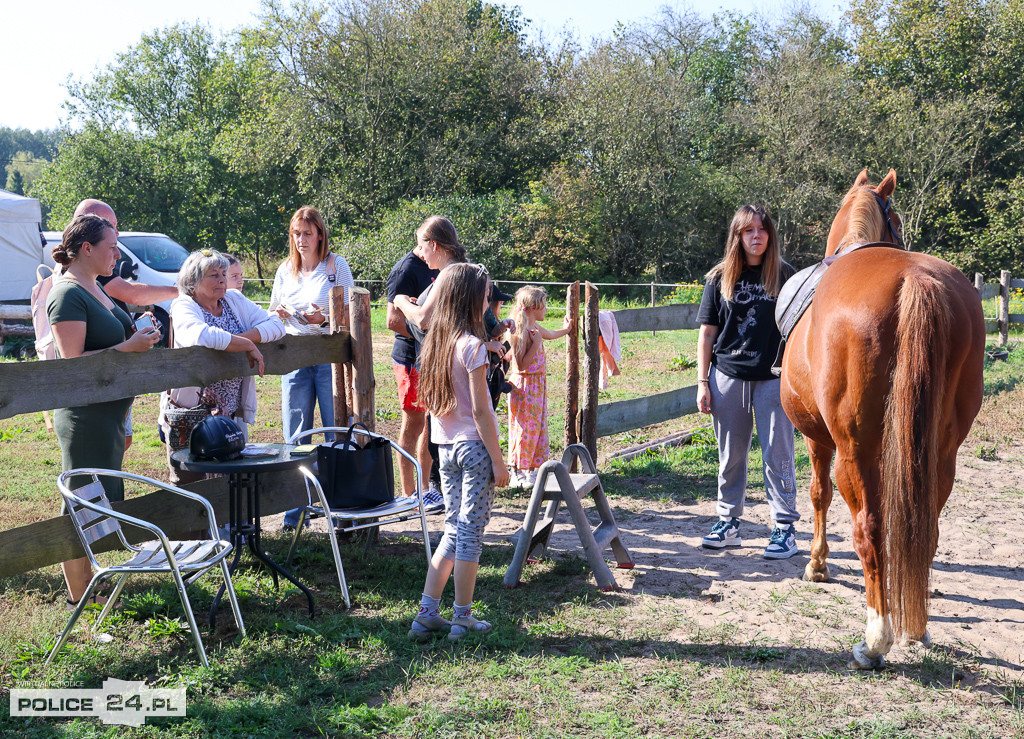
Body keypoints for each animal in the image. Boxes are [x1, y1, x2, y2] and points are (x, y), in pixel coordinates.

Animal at [778, 168, 987, 667]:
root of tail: (916, 277)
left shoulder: (819, 440)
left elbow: (818, 495)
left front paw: (816, 565)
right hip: (939, 454)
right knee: (926, 528)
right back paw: (916, 628)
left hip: (855, 451)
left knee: (869, 529)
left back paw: (875, 640)